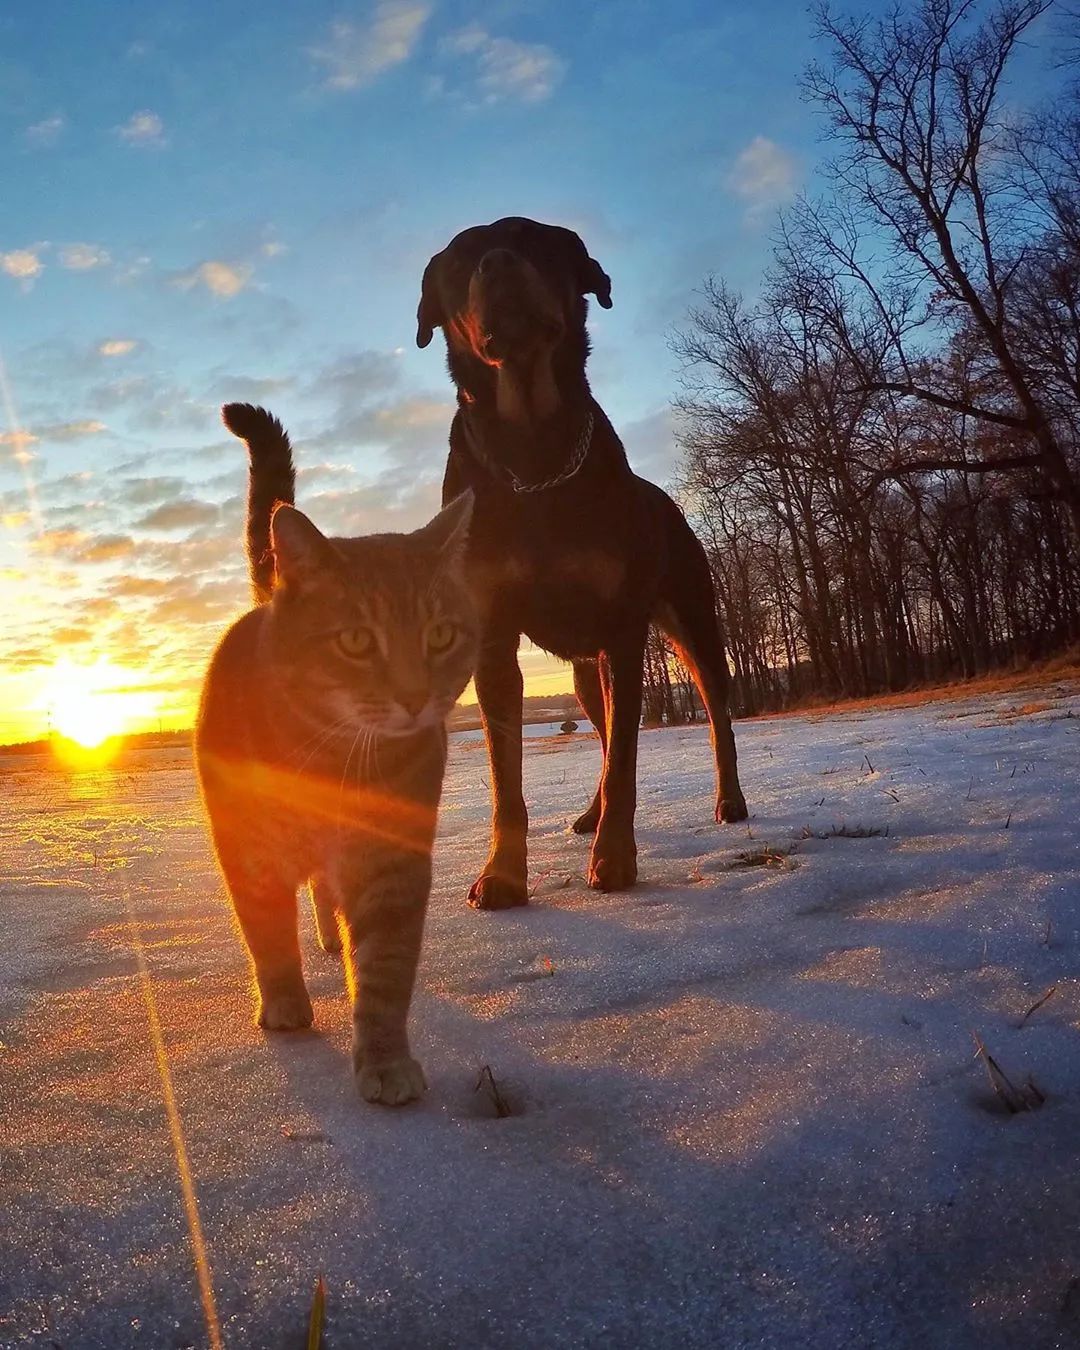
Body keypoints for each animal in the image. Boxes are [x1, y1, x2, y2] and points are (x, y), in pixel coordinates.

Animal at [418, 216, 745, 907]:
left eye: (536, 239)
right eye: (458, 260)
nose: (497, 261)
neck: (533, 451)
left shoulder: (623, 630)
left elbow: (626, 760)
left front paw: (616, 859)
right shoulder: (493, 639)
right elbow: (507, 776)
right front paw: (502, 873)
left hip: (691, 621)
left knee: (714, 712)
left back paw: (730, 800)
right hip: (584, 672)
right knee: (600, 729)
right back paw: (590, 814)